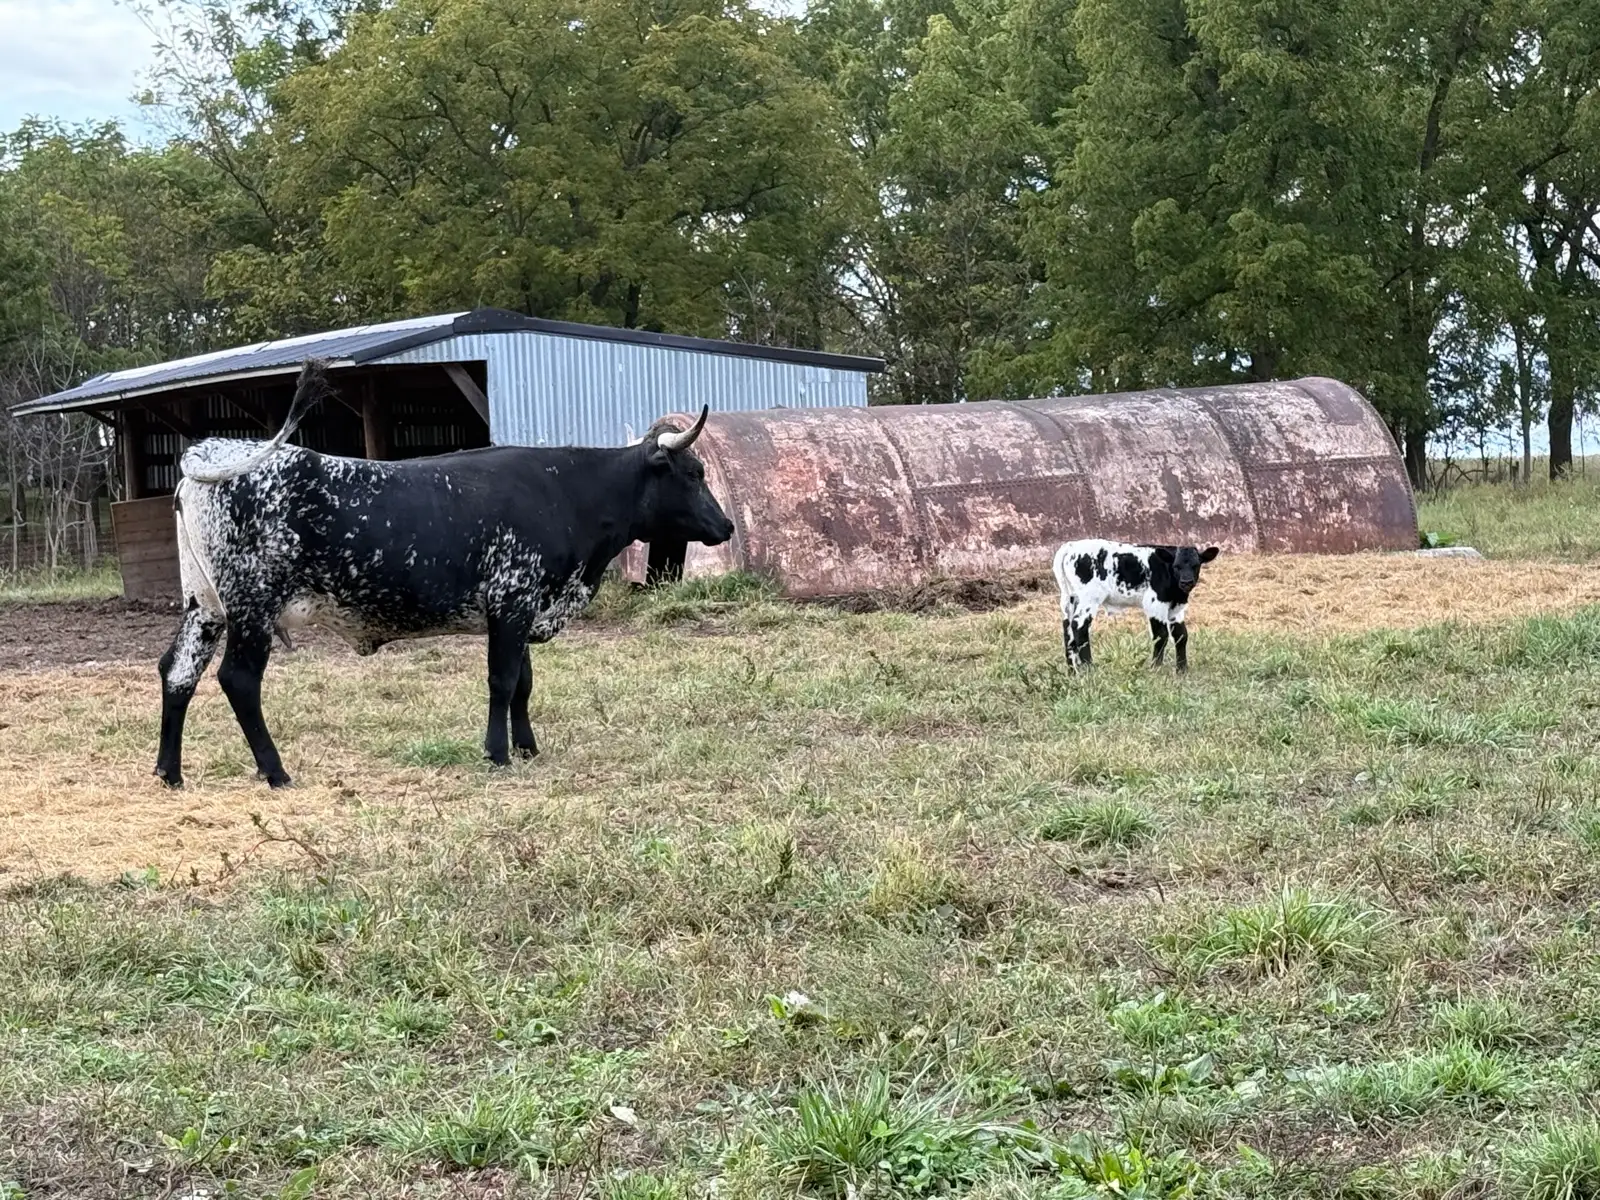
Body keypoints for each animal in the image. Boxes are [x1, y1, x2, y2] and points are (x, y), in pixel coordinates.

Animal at [155, 360, 735, 789]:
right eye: (693, 473)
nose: (727, 525)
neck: (564, 493)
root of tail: (213, 449)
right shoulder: (512, 600)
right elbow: (502, 681)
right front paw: (498, 754)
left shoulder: (522, 607)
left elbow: (524, 684)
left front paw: (528, 747)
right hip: (252, 606)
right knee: (238, 679)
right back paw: (275, 771)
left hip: (204, 605)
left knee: (178, 672)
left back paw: (169, 772)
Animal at [1051, 539, 1220, 674]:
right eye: (1176, 566)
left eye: (1196, 565)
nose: (1186, 582)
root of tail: (1070, 546)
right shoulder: (1155, 603)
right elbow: (1161, 635)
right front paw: (1155, 668)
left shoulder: (1175, 608)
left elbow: (1181, 635)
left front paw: (1182, 670)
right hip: (1089, 598)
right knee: (1079, 626)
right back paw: (1089, 668)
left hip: (1070, 598)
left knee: (1067, 629)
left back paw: (1073, 671)